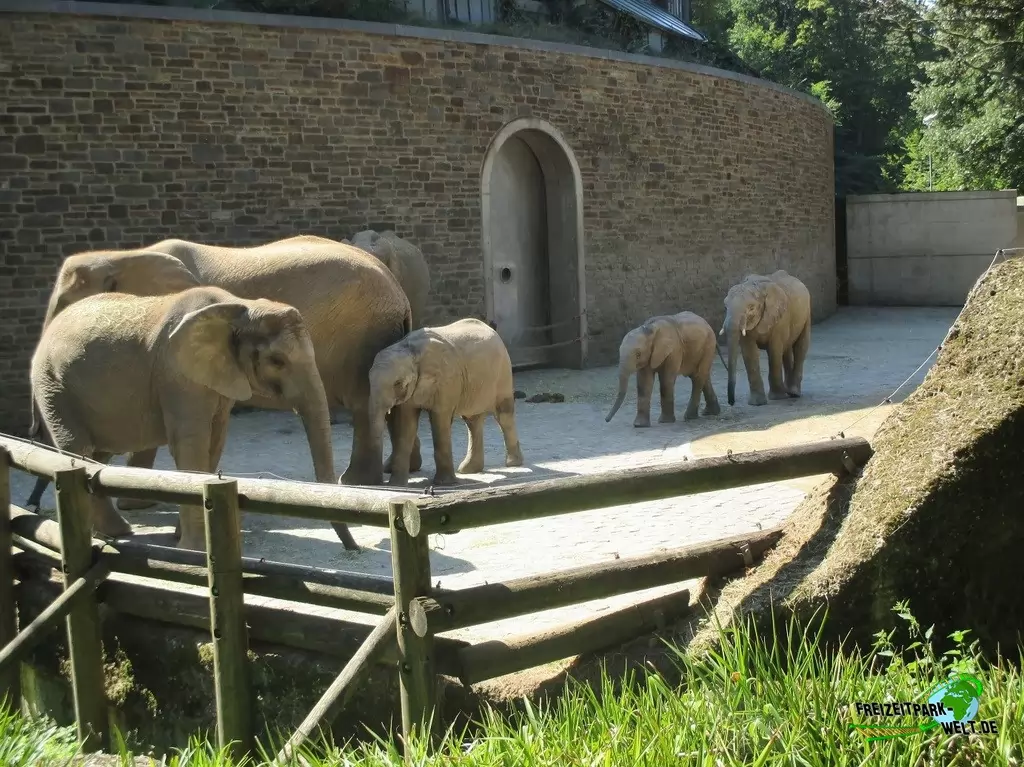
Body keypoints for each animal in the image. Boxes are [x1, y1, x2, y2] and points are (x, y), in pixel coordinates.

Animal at [30, 285, 343, 551]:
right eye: (277, 361)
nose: (350, 548)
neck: (240, 306)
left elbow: (214, 442)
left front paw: (188, 537)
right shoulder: (177, 374)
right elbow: (190, 444)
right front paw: (195, 549)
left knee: (99, 455)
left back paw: (113, 532)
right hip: (53, 385)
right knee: (78, 448)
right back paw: (118, 532)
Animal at [34, 235, 418, 506]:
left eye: (64, 305)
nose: (34, 504)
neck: (123, 256)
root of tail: (399, 292)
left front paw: (134, 503)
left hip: (359, 336)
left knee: (362, 401)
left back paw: (357, 482)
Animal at [367, 318, 524, 487]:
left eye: (398, 383)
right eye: (368, 379)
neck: (410, 350)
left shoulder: (447, 380)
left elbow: (440, 421)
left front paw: (444, 483)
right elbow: (405, 425)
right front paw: (397, 485)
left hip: (503, 373)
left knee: (503, 415)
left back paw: (513, 463)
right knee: (472, 421)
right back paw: (468, 470)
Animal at [719, 269, 811, 406]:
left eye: (751, 308)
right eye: (725, 306)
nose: (731, 402)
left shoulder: (780, 318)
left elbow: (774, 351)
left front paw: (777, 398)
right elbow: (749, 352)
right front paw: (757, 404)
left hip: (807, 313)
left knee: (800, 347)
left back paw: (794, 393)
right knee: (787, 350)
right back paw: (788, 391)